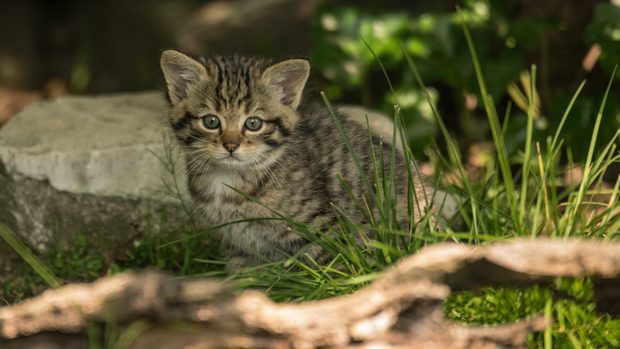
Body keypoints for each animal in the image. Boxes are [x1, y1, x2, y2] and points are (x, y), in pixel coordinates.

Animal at [160, 50, 440, 270]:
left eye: (253, 123)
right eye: (211, 121)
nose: (230, 145)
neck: (228, 182)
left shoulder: (322, 228)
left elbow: (335, 269)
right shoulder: (240, 243)